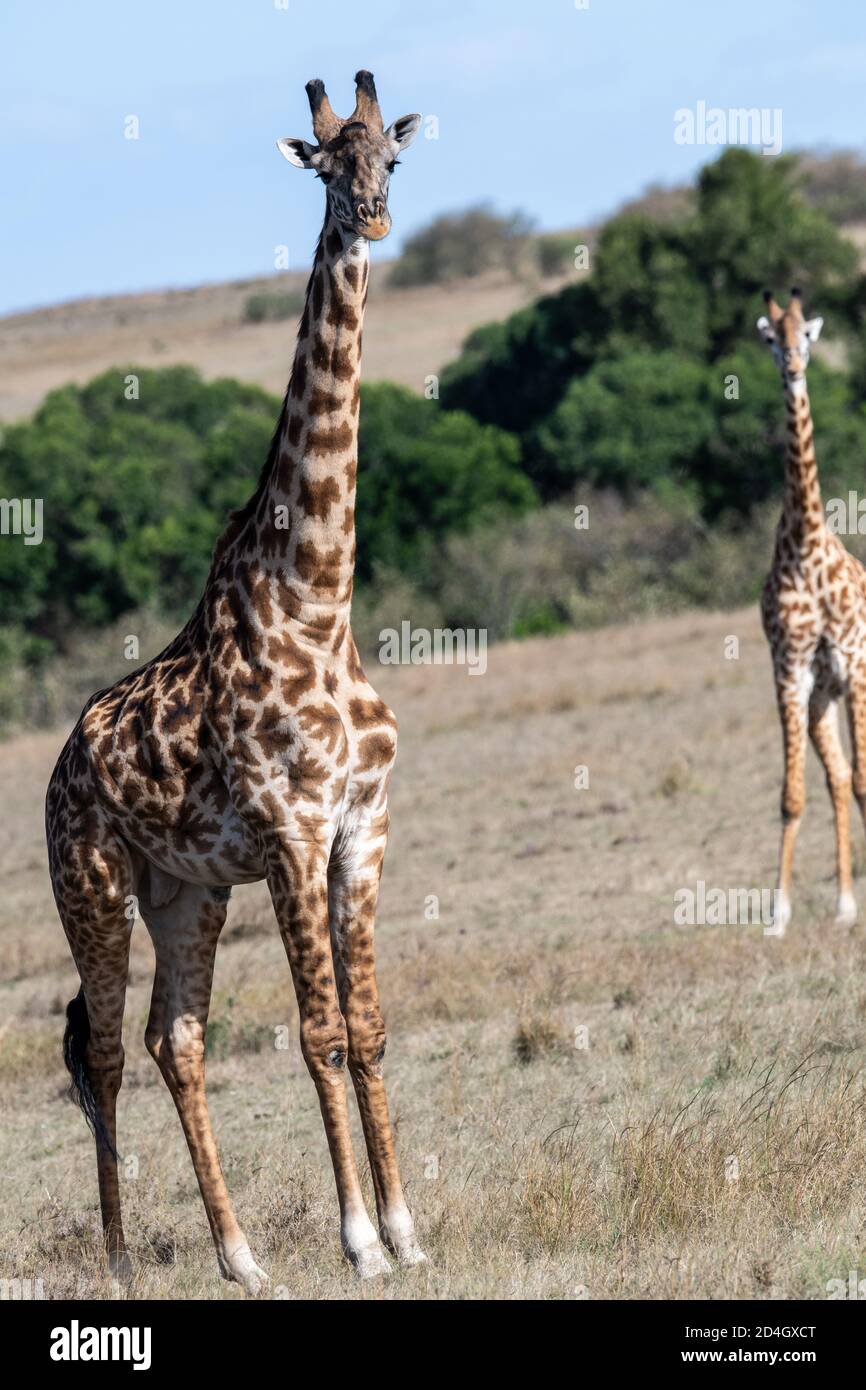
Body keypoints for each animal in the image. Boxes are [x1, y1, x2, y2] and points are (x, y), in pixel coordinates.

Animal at [45, 71, 426, 1294]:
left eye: (391, 160)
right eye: (324, 163)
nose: (372, 219)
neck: (318, 599)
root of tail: (60, 765)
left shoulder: (362, 828)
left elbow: (370, 1026)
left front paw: (407, 1228)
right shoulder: (293, 834)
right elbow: (320, 1034)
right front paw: (360, 1241)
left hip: (187, 892)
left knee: (177, 1038)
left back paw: (241, 1254)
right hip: (93, 883)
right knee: (105, 1050)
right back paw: (124, 1257)